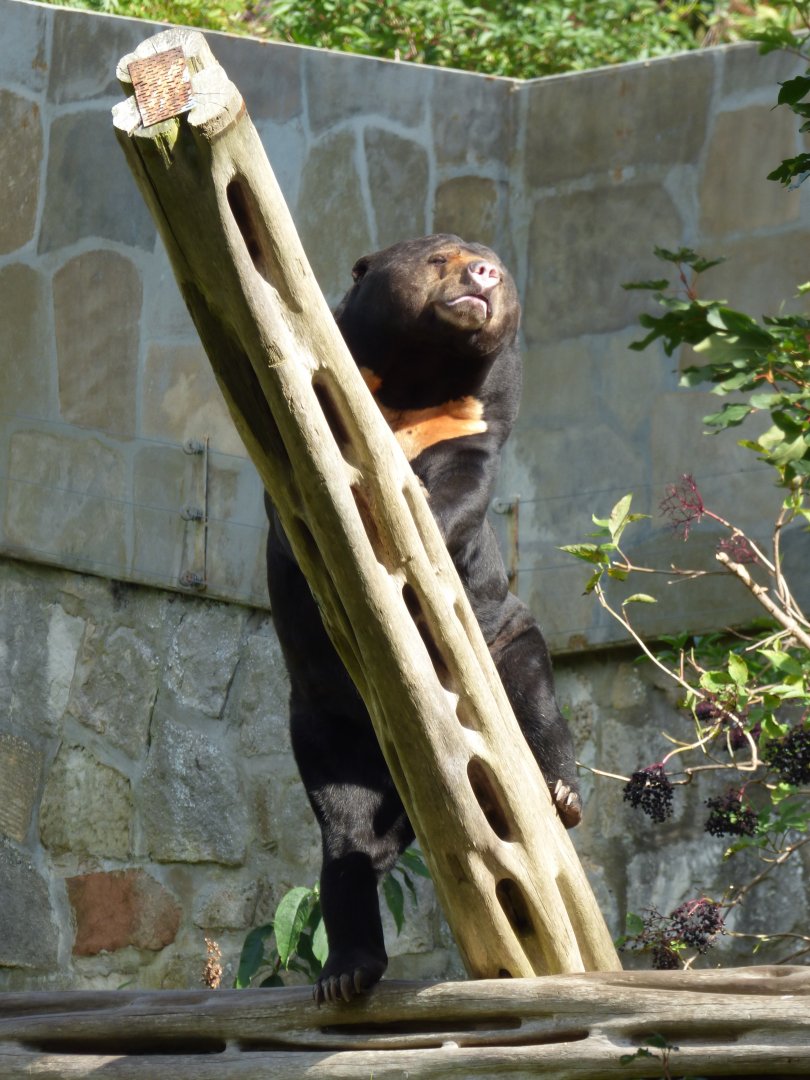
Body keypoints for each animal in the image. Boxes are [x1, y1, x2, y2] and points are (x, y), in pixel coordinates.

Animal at [264, 234, 580, 1005]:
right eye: (441, 258)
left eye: (497, 267)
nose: (485, 276)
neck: (419, 381)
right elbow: (293, 496)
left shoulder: (476, 423)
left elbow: (462, 489)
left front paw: (416, 526)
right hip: (322, 725)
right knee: (350, 841)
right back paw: (347, 971)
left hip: (508, 646)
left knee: (536, 709)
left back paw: (560, 793)